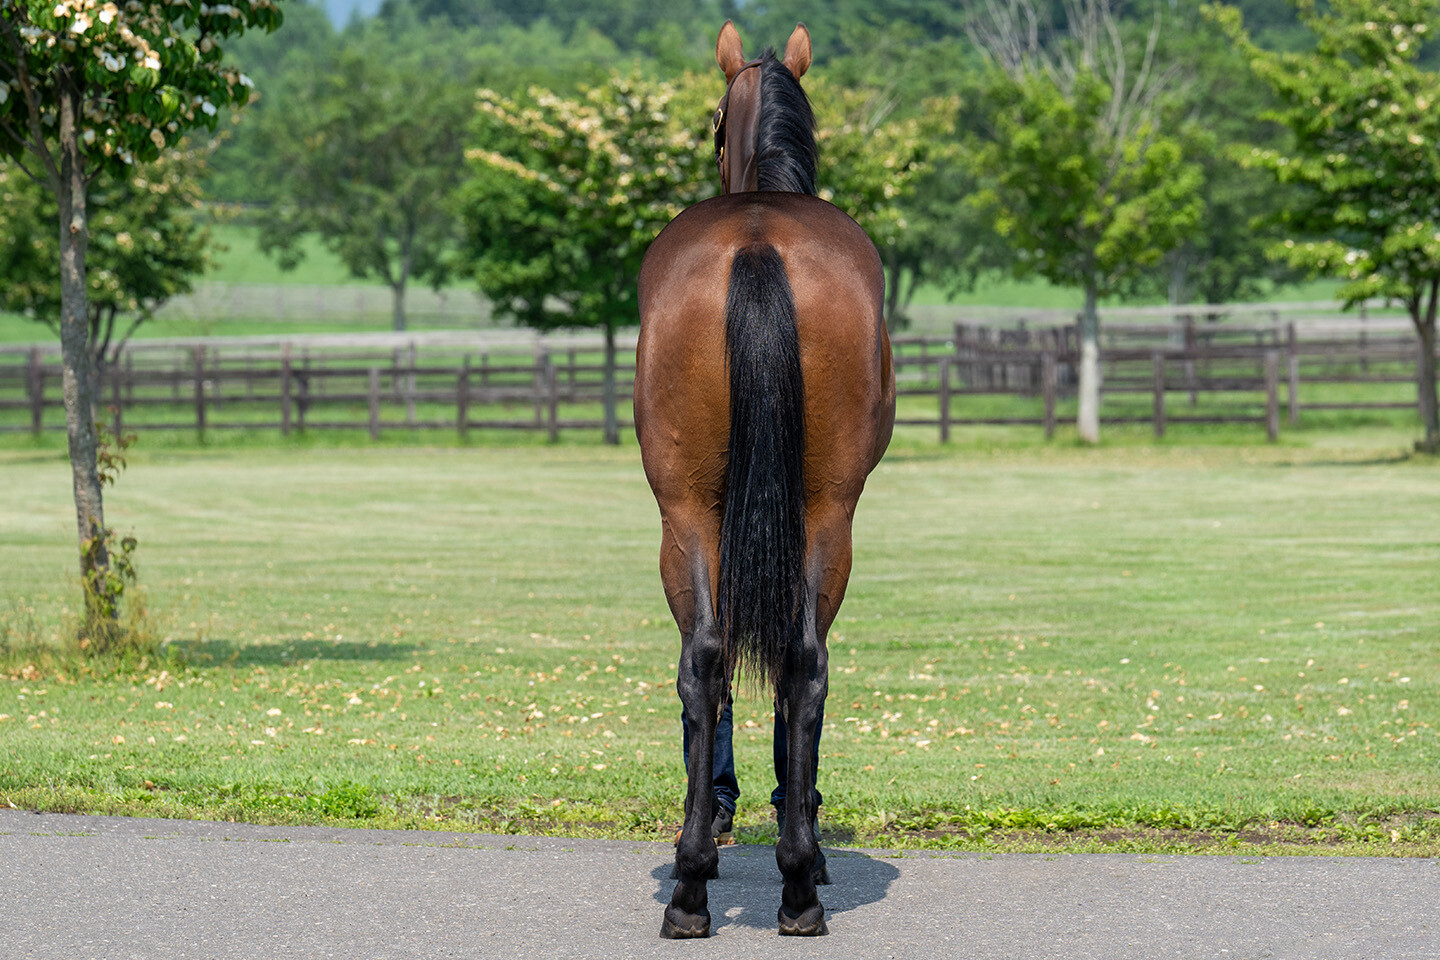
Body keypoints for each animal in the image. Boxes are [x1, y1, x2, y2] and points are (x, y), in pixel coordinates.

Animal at [636, 20, 892, 938]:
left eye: (713, 125)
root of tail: (755, 239)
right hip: (820, 512)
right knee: (792, 659)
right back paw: (789, 878)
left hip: (687, 513)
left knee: (712, 658)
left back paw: (701, 882)